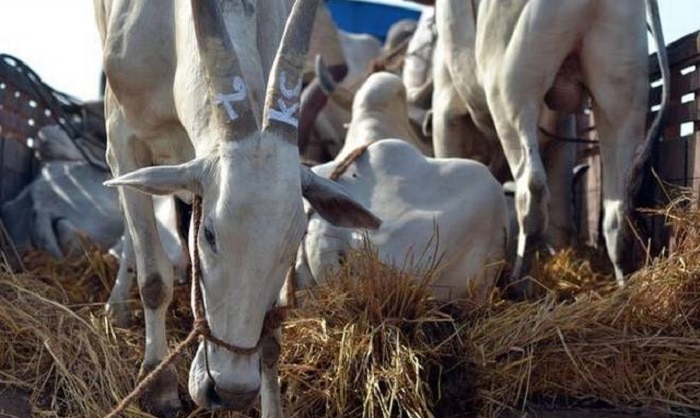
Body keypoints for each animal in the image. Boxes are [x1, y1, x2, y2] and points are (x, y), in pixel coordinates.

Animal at [96, 0, 380, 414]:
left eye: (293, 241)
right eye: (210, 235)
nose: (230, 392)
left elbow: (273, 331)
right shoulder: (122, 137)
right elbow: (153, 278)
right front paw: (159, 383)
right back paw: (118, 306)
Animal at [434, 0, 668, 286]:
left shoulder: (446, 112)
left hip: (512, 90)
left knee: (531, 188)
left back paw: (518, 282)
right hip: (620, 85)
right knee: (616, 205)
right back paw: (623, 282)